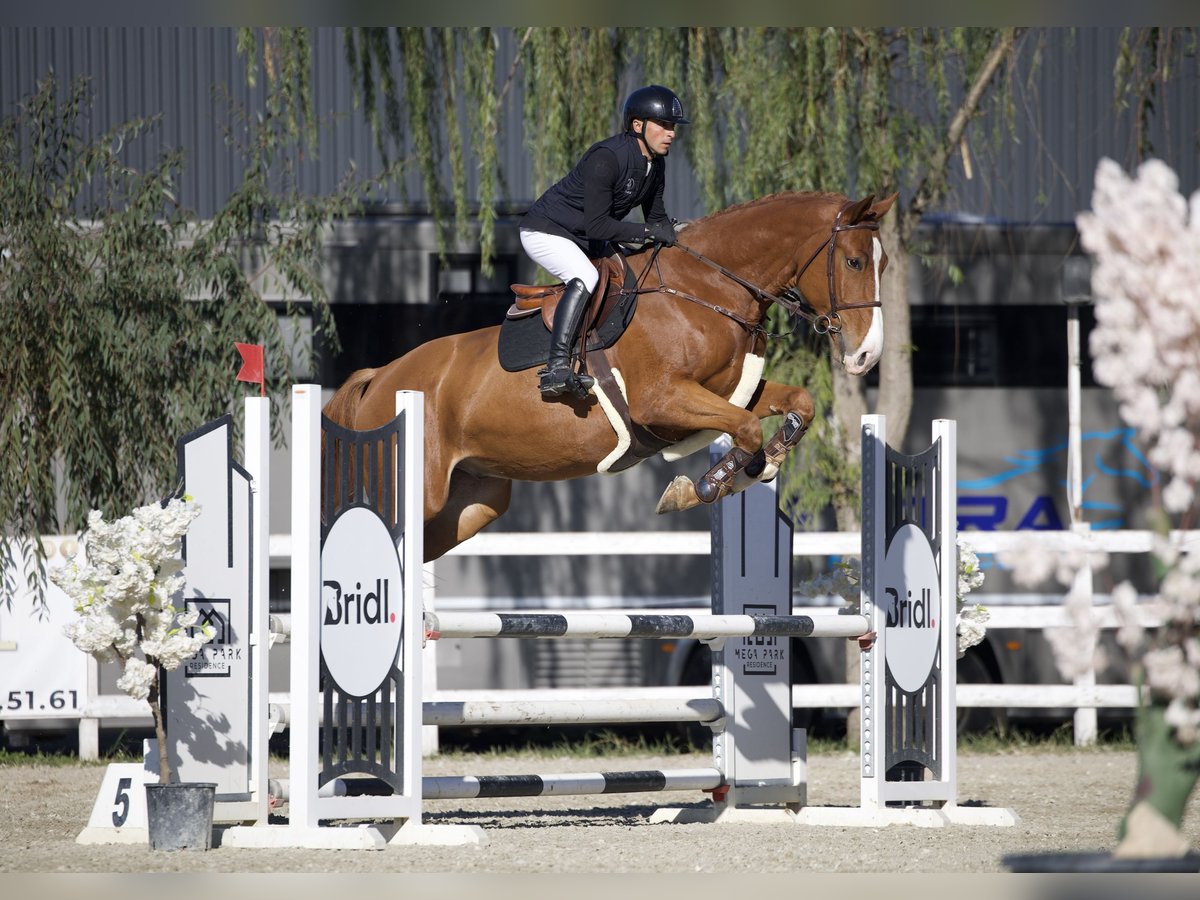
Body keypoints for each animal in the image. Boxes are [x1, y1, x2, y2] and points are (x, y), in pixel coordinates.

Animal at [324, 190, 897, 561]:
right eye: (852, 262)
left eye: (883, 264)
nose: (866, 356)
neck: (707, 289)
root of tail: (380, 376)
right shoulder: (661, 402)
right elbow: (747, 428)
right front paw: (701, 487)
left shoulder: (726, 393)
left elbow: (796, 405)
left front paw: (758, 467)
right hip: (411, 491)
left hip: (469, 505)